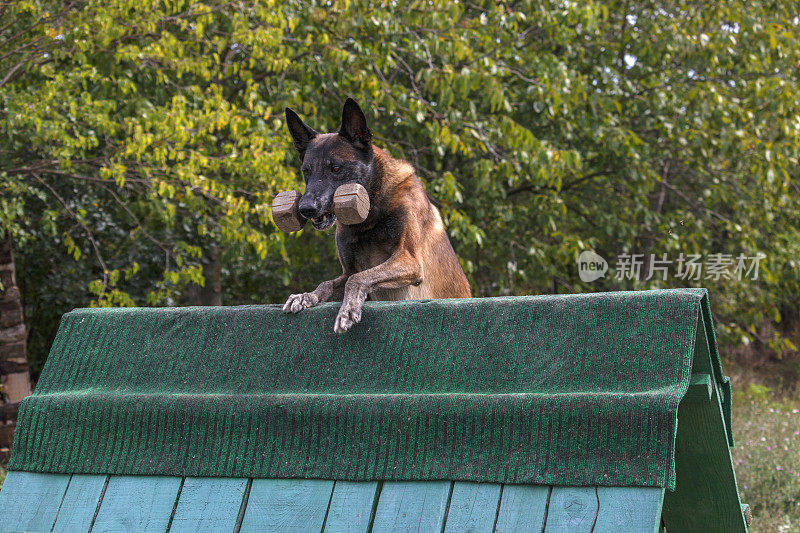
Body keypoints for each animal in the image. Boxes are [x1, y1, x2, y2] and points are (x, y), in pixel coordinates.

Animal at [282, 97, 472, 330]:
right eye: (306, 171)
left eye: (335, 168)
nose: (306, 208)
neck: (369, 217)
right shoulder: (348, 271)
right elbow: (328, 283)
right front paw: (306, 296)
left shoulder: (409, 260)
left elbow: (358, 279)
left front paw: (347, 309)